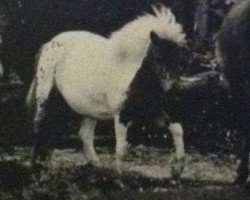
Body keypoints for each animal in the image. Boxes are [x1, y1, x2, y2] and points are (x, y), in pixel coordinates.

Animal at [26, 5, 188, 178]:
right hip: (44, 96)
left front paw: (177, 171)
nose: (172, 89)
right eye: (158, 58)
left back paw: (96, 166)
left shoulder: (153, 111)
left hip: (89, 110)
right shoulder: (121, 115)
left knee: (84, 135)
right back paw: (34, 167)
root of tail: (49, 44)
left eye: (180, 60)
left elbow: (178, 130)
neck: (131, 72)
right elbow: (121, 149)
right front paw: (120, 178)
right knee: (39, 126)